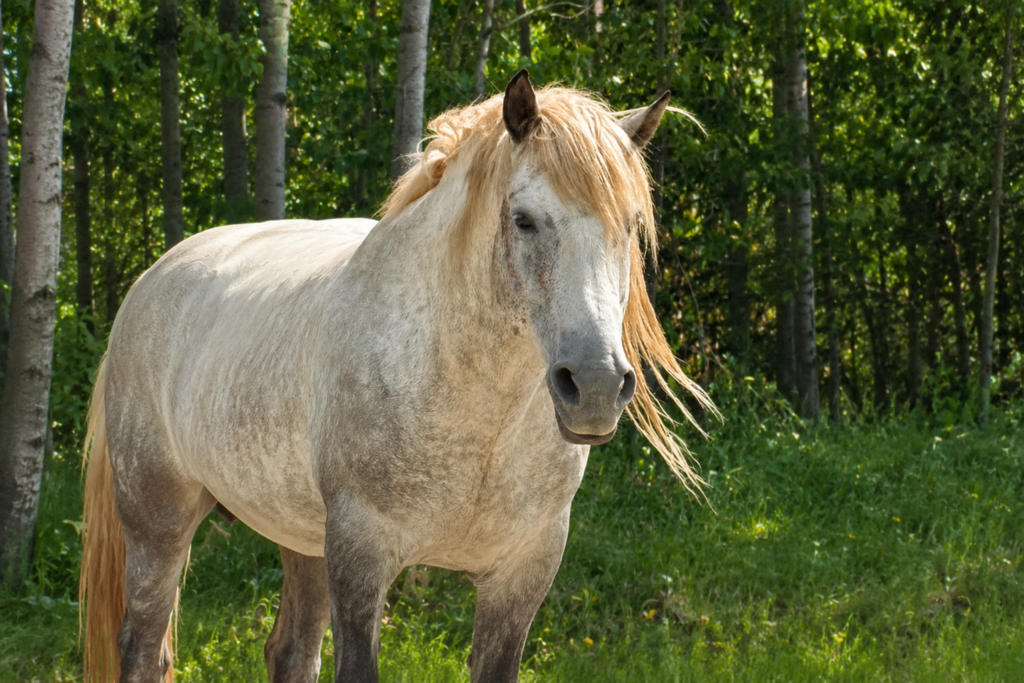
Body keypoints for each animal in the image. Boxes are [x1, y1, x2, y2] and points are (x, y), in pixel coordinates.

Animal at [79, 70, 714, 683]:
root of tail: (152, 279)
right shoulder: (362, 555)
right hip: (159, 523)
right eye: (524, 220)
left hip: (301, 538)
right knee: (142, 648)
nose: (596, 386)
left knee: (290, 653)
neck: (477, 415)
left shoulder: (522, 570)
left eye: (630, 226)